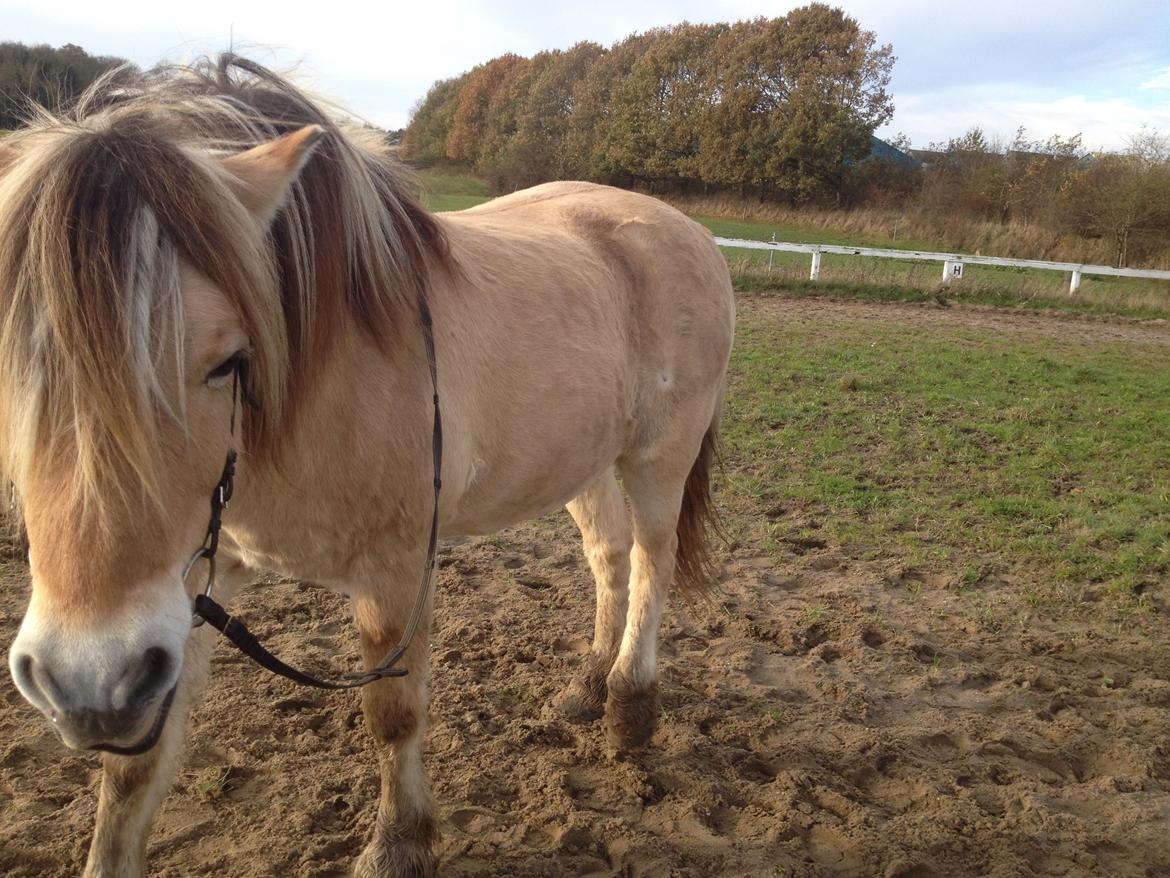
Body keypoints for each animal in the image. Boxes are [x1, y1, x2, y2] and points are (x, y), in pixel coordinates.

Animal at [0, 58, 730, 875]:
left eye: (227, 360)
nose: (86, 684)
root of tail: (685, 229)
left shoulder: (395, 570)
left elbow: (392, 714)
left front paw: (398, 845)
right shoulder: (183, 589)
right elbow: (130, 776)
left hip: (659, 457)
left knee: (650, 562)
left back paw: (630, 705)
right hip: (583, 458)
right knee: (608, 555)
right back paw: (586, 685)